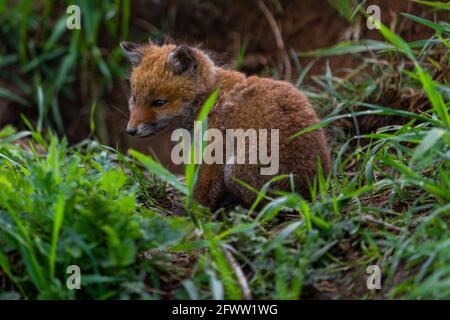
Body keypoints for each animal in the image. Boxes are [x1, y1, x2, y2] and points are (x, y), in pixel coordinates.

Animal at [119, 41, 330, 209]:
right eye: (134, 99)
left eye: (159, 103)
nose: (130, 130)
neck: (208, 97)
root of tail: (311, 189)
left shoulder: (215, 152)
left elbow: (202, 189)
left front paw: (193, 213)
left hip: (234, 168)